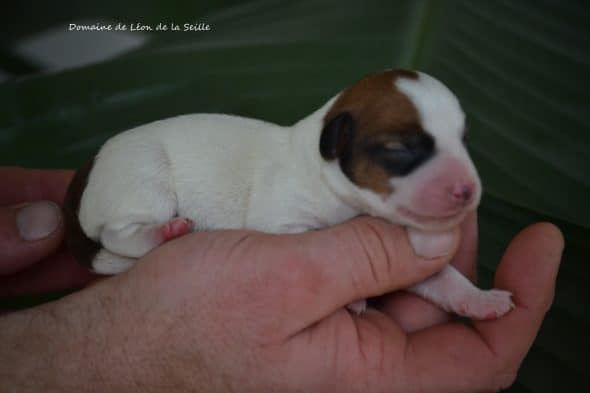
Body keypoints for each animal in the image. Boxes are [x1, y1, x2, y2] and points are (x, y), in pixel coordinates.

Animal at [67, 68, 516, 318]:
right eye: (400, 148)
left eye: (463, 139)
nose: (467, 190)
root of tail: (87, 169)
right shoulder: (281, 220)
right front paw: (351, 301)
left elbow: (443, 278)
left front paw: (480, 299)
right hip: (144, 177)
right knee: (118, 233)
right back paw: (164, 233)